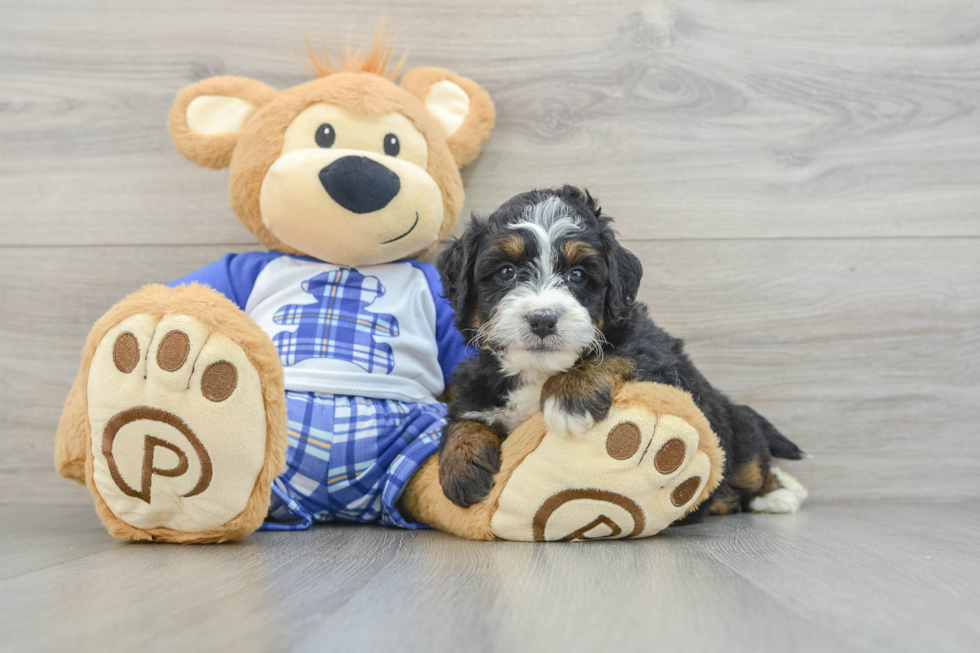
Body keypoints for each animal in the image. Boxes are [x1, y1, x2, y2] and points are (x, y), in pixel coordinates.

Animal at [436, 186, 804, 516]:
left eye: (577, 274)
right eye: (506, 272)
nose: (543, 320)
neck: (538, 371)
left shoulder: (658, 355)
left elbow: (617, 353)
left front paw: (569, 395)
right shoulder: (478, 384)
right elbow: (466, 415)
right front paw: (461, 464)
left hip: (739, 432)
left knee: (754, 467)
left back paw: (781, 493)